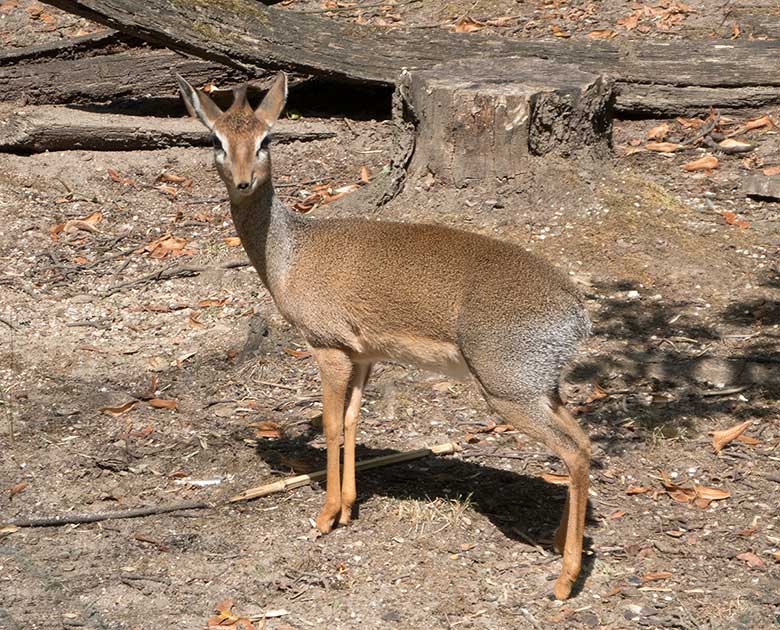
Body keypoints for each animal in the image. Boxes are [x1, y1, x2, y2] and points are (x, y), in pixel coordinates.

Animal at [177, 71, 592, 600]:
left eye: (266, 138)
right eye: (217, 140)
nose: (244, 180)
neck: (289, 254)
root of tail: (576, 310)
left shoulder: (327, 348)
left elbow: (332, 425)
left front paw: (326, 515)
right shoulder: (363, 356)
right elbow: (355, 421)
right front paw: (349, 507)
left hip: (507, 391)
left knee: (574, 452)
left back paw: (564, 580)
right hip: (543, 388)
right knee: (586, 442)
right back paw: (560, 542)